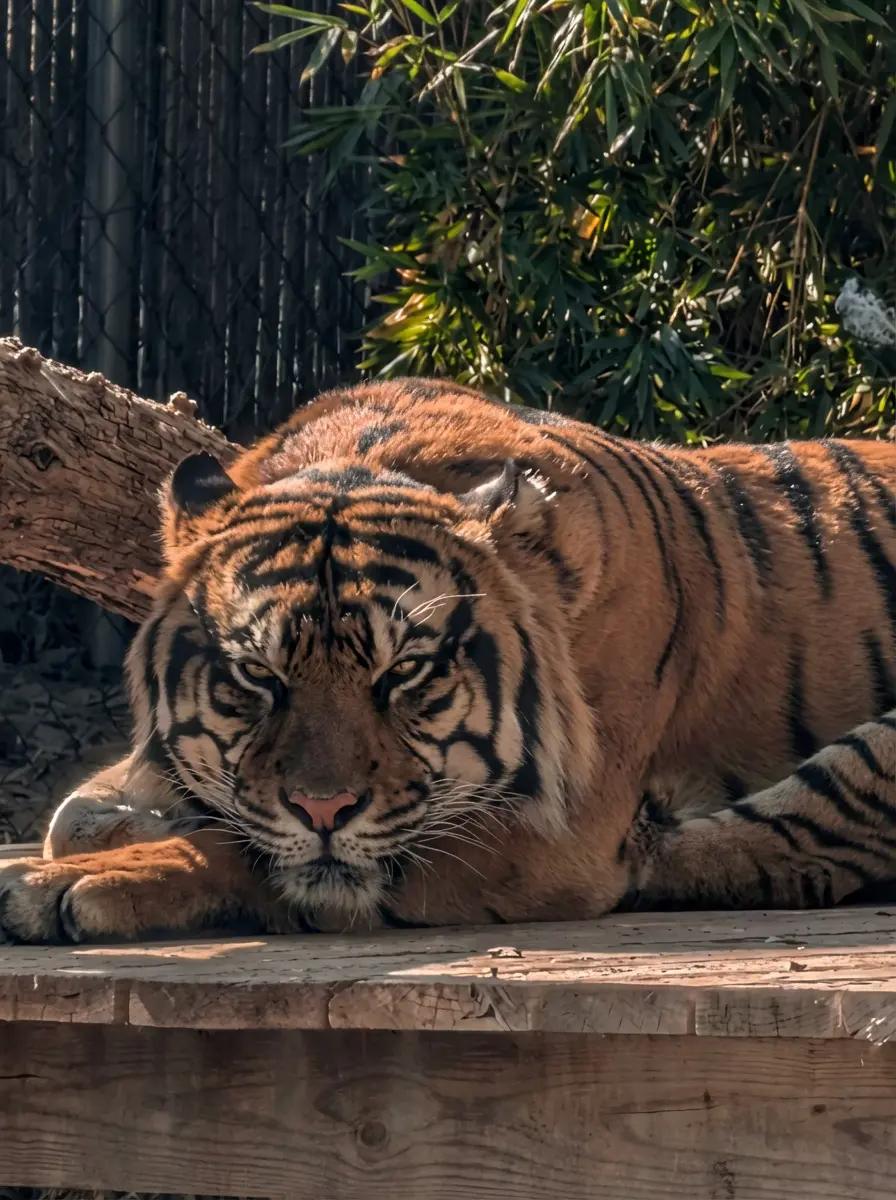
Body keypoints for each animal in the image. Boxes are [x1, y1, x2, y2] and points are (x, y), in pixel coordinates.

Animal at [4, 376, 896, 943]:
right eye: (259, 675)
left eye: (405, 673)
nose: (324, 809)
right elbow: (74, 815)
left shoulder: (551, 834)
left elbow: (256, 852)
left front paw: (69, 884)